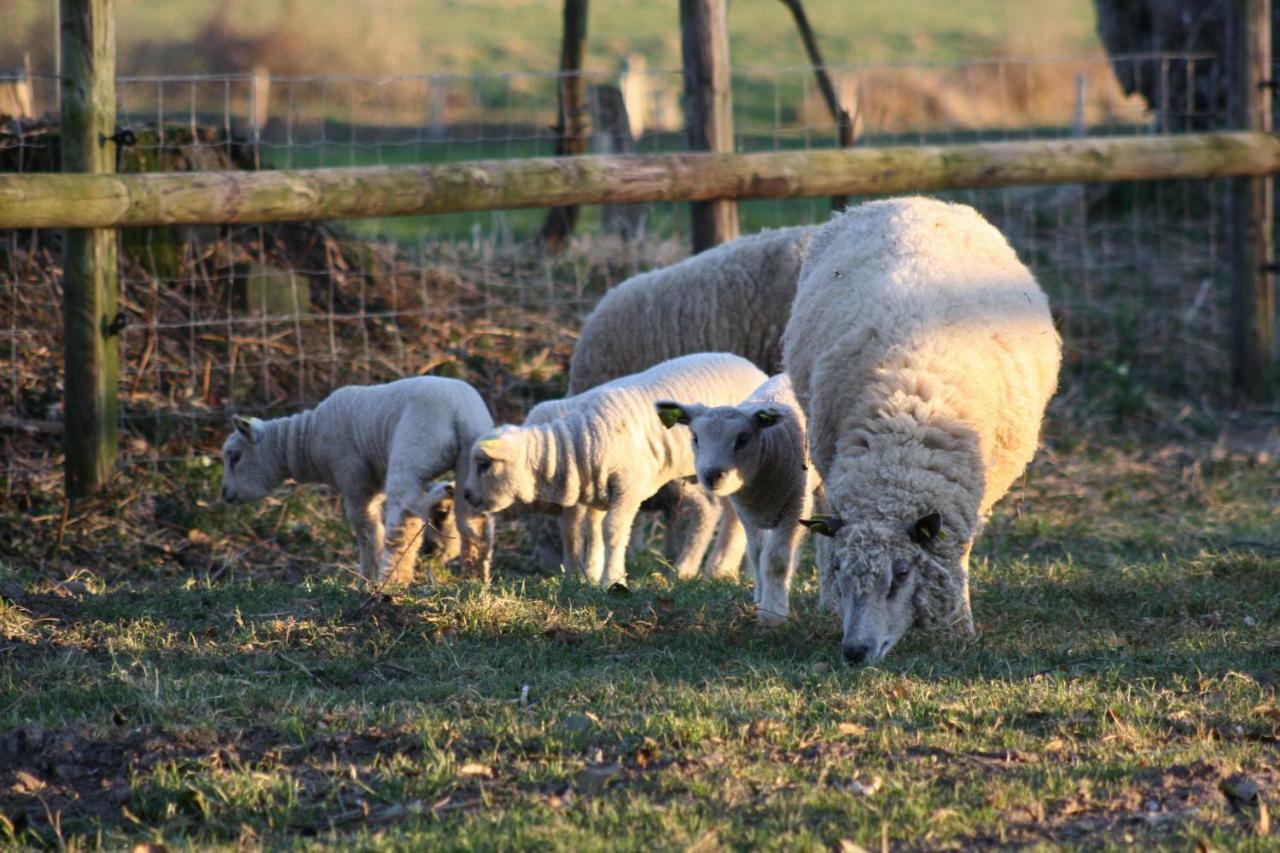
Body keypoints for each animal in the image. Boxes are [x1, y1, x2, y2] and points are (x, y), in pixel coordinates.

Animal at [220, 376, 494, 584]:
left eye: (234, 456)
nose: (224, 494)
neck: (306, 441)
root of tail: (458, 414)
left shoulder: (354, 480)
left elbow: (366, 528)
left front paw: (366, 577)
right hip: (470, 463)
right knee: (473, 520)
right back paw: (474, 574)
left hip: (413, 450)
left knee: (405, 518)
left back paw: (392, 579)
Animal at [460, 350, 762, 584]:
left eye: (483, 464)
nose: (467, 495)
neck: (574, 442)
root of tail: (754, 369)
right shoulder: (596, 492)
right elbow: (592, 534)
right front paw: (591, 576)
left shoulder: (629, 487)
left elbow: (612, 531)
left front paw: (613, 580)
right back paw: (722, 571)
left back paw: (714, 569)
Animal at [655, 371, 824, 625]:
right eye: (695, 438)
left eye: (742, 439)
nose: (712, 475)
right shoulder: (747, 514)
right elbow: (756, 555)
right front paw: (760, 599)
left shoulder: (795, 507)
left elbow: (775, 561)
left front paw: (772, 614)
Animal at [778, 197, 1059, 666]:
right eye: (841, 570)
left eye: (902, 573)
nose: (855, 652)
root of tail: (909, 199)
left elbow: (958, 554)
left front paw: (958, 625)